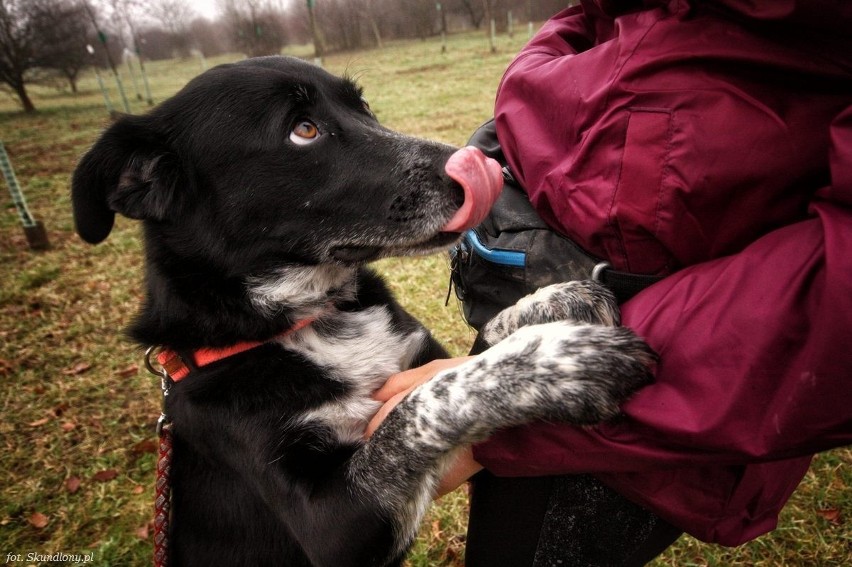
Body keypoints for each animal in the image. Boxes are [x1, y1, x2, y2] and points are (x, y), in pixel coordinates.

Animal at [70, 54, 652, 567]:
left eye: (363, 106)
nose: (487, 165)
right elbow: (420, 405)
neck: (314, 316)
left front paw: (556, 302)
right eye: (302, 130)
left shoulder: (420, 355)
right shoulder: (333, 524)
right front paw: (559, 363)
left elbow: (476, 346)